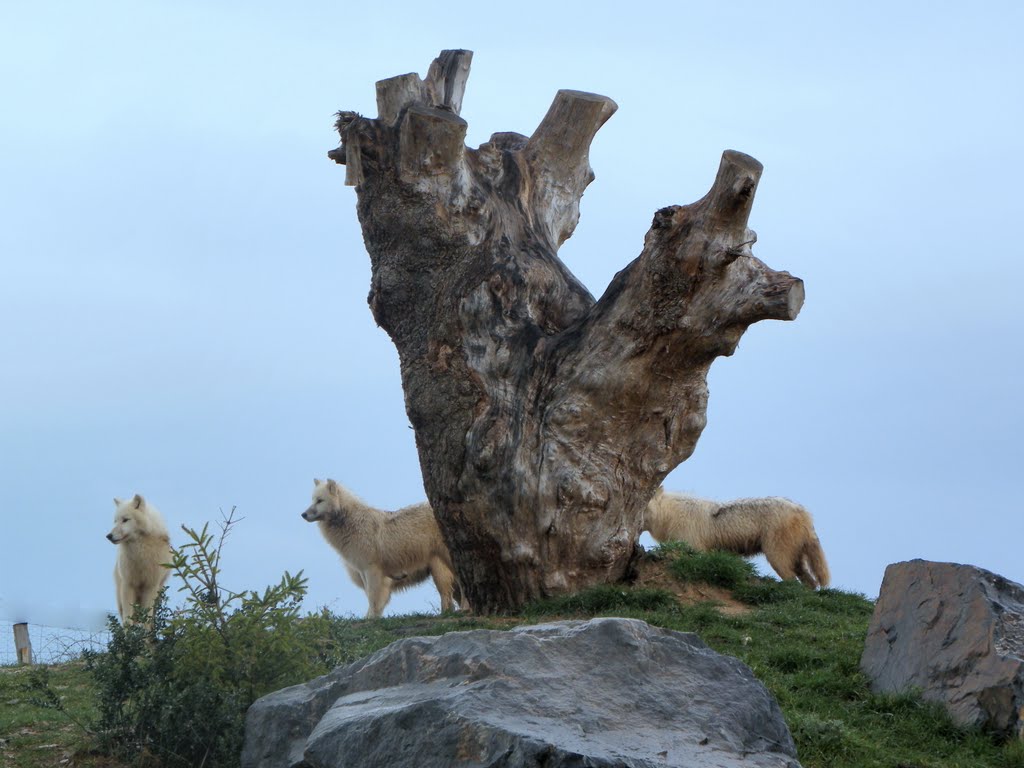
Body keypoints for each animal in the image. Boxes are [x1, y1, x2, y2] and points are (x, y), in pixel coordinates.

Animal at [107, 493, 173, 626]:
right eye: (115, 521)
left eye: (125, 520)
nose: (108, 536)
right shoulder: (128, 584)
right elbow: (128, 620)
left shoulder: (150, 586)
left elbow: (147, 620)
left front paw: (144, 632)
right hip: (120, 597)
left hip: (158, 594)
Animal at [301, 481, 466, 618]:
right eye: (312, 500)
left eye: (319, 500)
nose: (303, 514)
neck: (351, 523)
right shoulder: (364, 573)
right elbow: (370, 597)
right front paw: (369, 618)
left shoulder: (374, 572)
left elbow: (374, 599)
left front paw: (372, 619)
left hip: (442, 570)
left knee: (452, 591)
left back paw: (461, 610)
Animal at [647, 489, 831, 593]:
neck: (668, 514)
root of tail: (802, 511)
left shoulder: (697, 552)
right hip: (796, 561)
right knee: (811, 583)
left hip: (777, 558)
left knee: (794, 583)